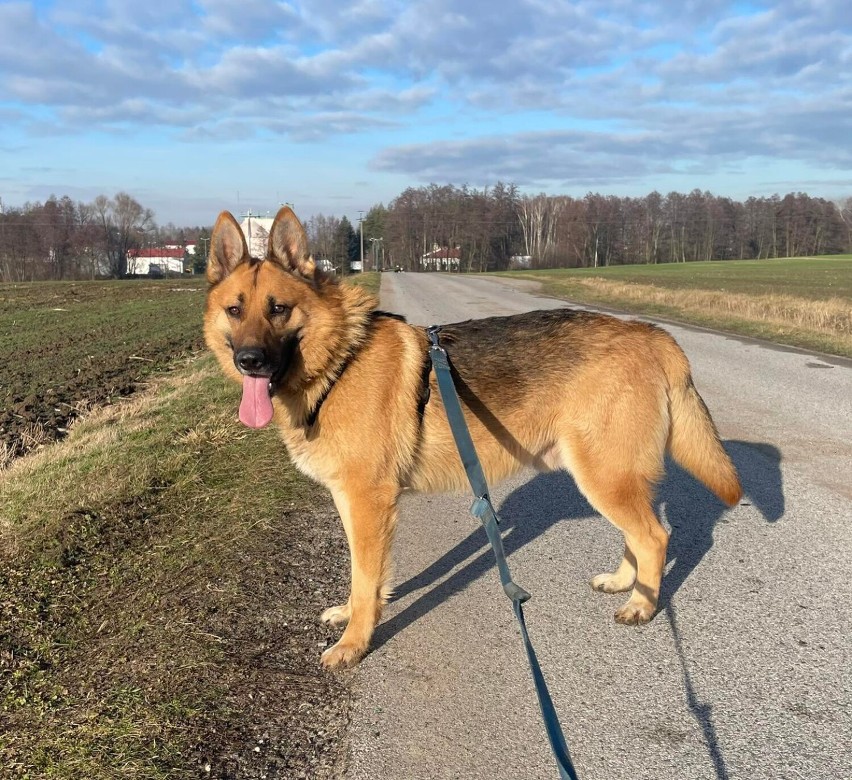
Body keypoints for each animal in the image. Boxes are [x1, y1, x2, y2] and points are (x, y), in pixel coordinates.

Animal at [203, 207, 744, 672]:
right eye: (235, 310)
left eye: (278, 309)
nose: (249, 361)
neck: (338, 359)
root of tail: (651, 333)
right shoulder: (352, 502)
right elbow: (364, 576)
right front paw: (355, 613)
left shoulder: (368, 502)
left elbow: (365, 577)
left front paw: (354, 643)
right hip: (608, 477)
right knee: (638, 534)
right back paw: (624, 583)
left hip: (604, 476)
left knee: (653, 536)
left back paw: (642, 606)